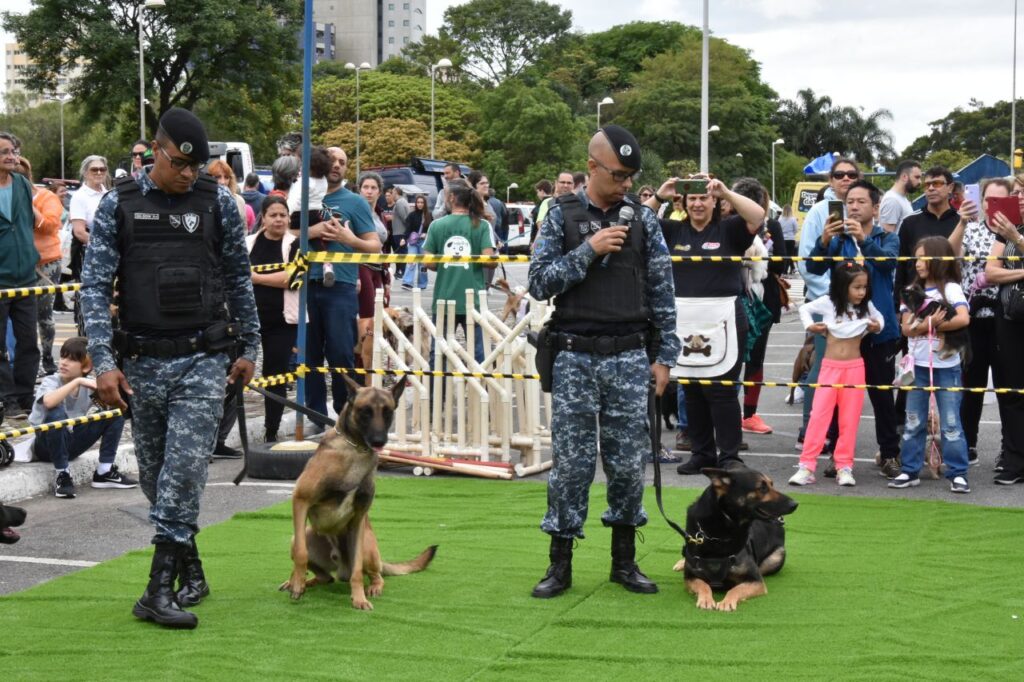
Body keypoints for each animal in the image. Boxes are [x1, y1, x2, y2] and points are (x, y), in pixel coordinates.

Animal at [280, 374, 436, 606]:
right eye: (365, 411)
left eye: (387, 411)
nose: (379, 441)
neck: (356, 449)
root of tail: (340, 567)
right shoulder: (301, 500)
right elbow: (301, 553)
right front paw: (297, 583)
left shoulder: (358, 519)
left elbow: (357, 572)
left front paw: (359, 598)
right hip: (304, 534)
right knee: (324, 575)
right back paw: (300, 582)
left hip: (367, 546)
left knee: (373, 574)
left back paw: (373, 587)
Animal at [671, 464, 798, 606]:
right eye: (762, 488)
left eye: (771, 484)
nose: (795, 504)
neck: (720, 535)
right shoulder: (690, 578)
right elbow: (703, 584)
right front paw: (706, 600)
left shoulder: (756, 580)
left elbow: (736, 589)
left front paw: (726, 602)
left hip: (778, 556)